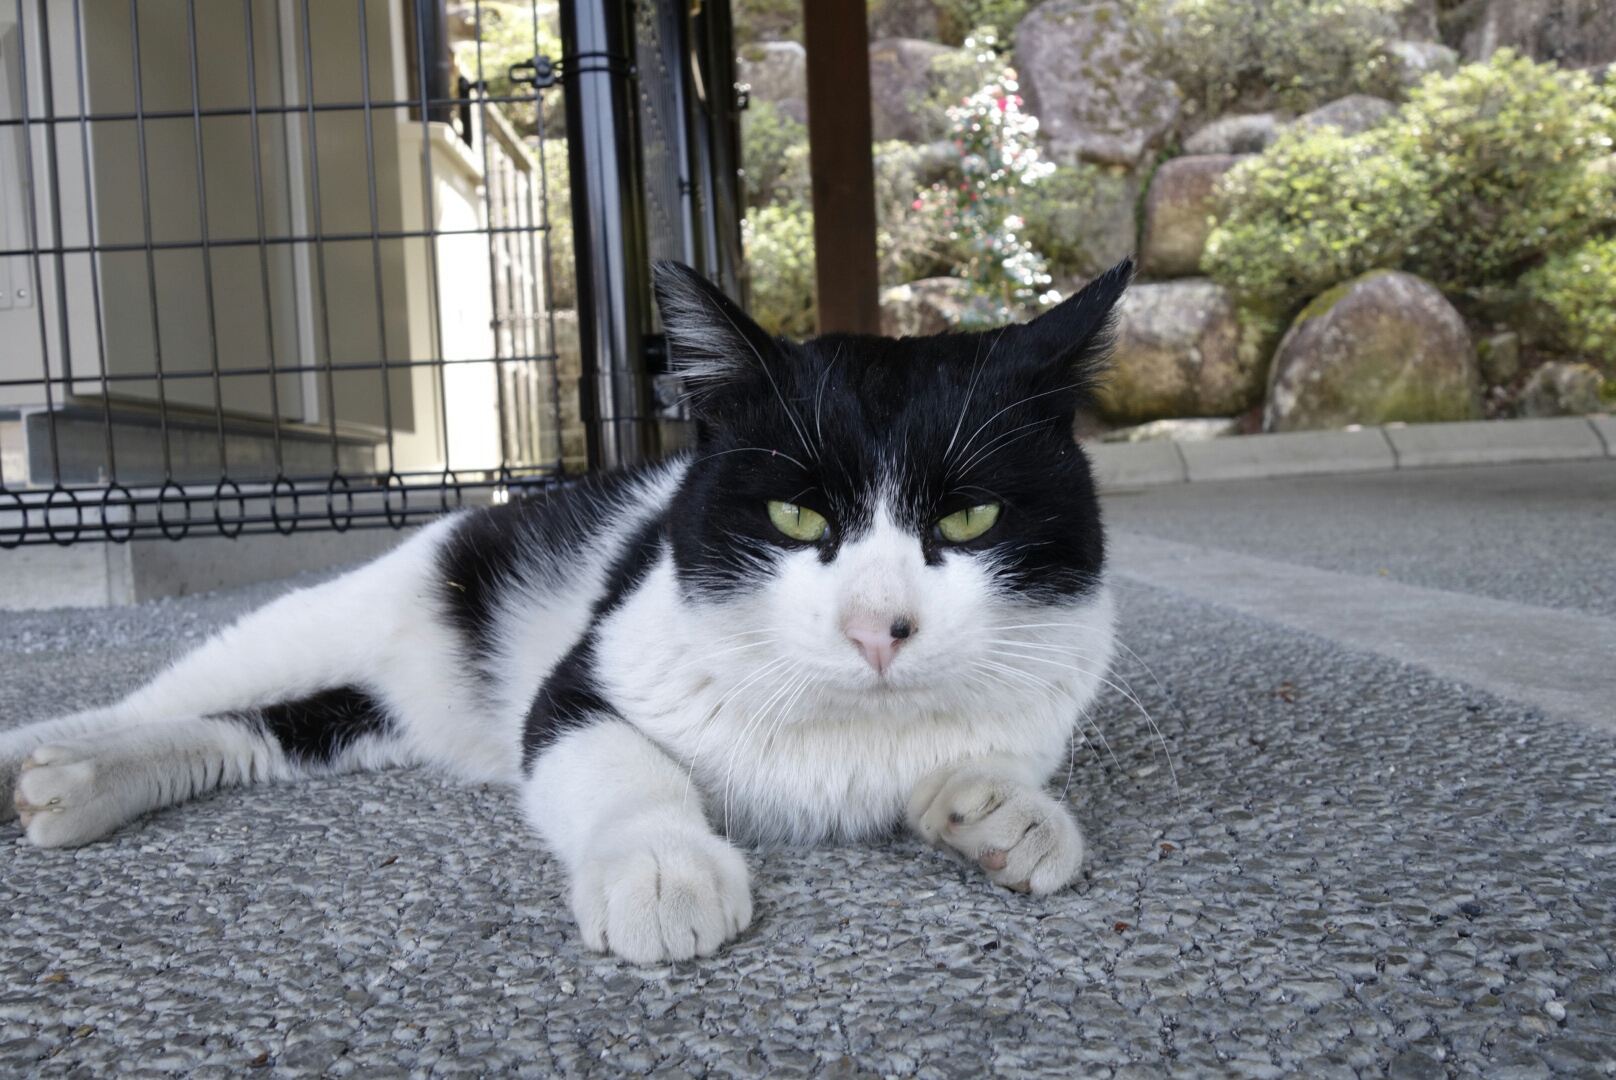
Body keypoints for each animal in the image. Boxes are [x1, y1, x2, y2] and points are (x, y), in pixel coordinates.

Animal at [0, 258, 1131, 964]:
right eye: (794, 512)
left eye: (972, 515)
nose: (876, 629)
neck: (849, 730)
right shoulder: (587, 677)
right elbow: (624, 761)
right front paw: (665, 871)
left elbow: (997, 769)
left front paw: (1004, 814)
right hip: (346, 608)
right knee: (176, 691)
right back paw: (45, 753)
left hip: (375, 721)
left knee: (255, 736)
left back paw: (79, 789)